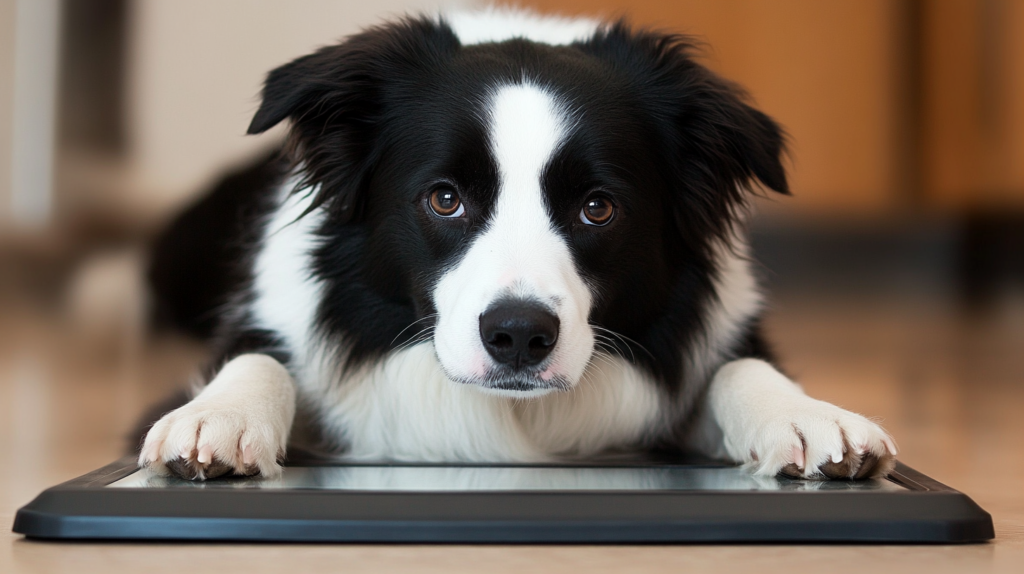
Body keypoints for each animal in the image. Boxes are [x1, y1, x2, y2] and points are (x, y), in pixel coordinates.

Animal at [138, 8, 897, 480]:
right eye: (445, 198)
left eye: (598, 208)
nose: (520, 337)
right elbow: (259, 357)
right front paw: (218, 418)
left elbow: (740, 366)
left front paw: (806, 416)